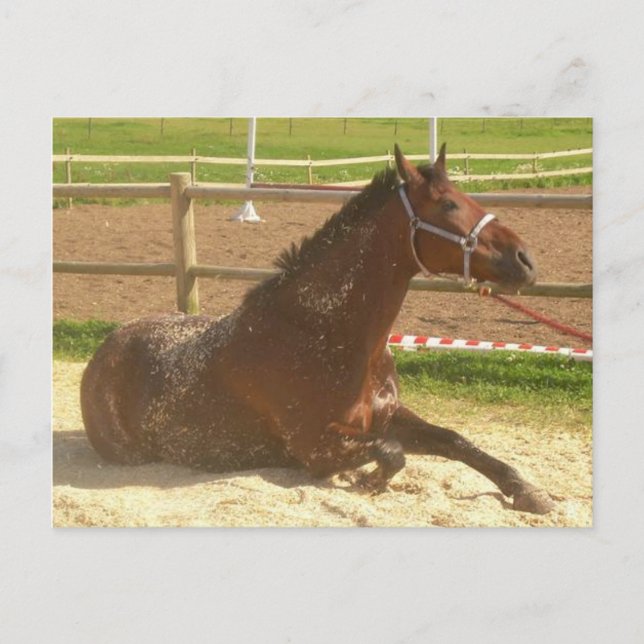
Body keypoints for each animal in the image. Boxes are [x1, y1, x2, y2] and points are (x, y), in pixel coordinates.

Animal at [81, 144, 554, 515]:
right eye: (448, 205)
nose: (527, 260)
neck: (325, 335)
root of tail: (104, 352)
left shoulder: (389, 417)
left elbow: (455, 440)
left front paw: (528, 491)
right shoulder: (317, 449)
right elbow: (393, 455)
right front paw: (370, 482)